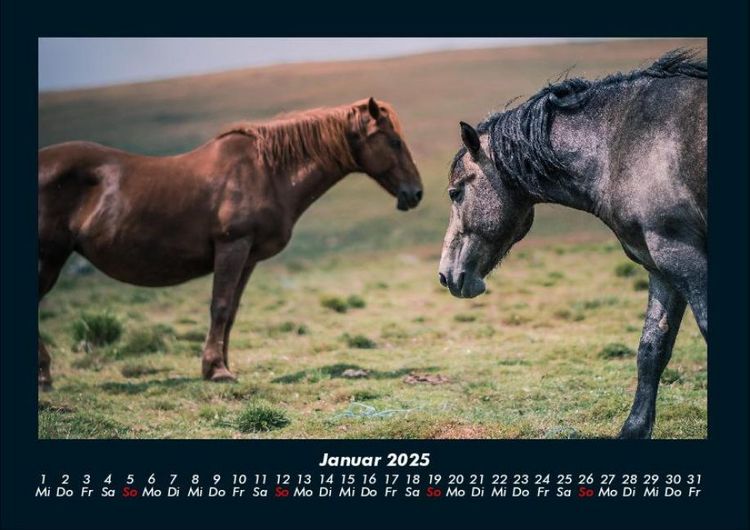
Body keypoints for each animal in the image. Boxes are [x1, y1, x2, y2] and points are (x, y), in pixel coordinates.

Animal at [38, 97, 423, 387]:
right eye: (394, 142)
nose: (416, 193)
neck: (266, 171)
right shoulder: (232, 247)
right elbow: (220, 306)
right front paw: (217, 370)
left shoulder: (248, 257)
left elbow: (232, 311)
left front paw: (220, 364)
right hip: (49, 258)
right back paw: (44, 374)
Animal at [437, 50, 706, 439]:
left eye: (455, 192)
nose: (446, 275)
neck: (622, 144)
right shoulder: (662, 266)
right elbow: (651, 350)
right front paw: (634, 429)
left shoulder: (685, 257)